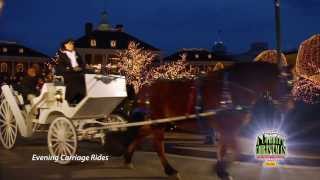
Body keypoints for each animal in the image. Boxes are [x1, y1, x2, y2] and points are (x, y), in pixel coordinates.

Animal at [114, 61, 292, 179]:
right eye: (288, 83)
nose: (289, 106)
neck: (231, 89)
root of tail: (147, 87)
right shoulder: (228, 128)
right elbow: (236, 151)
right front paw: (220, 169)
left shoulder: (226, 129)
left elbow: (225, 149)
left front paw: (221, 169)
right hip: (159, 121)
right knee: (157, 145)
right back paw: (170, 170)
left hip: (158, 121)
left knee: (140, 134)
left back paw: (128, 158)